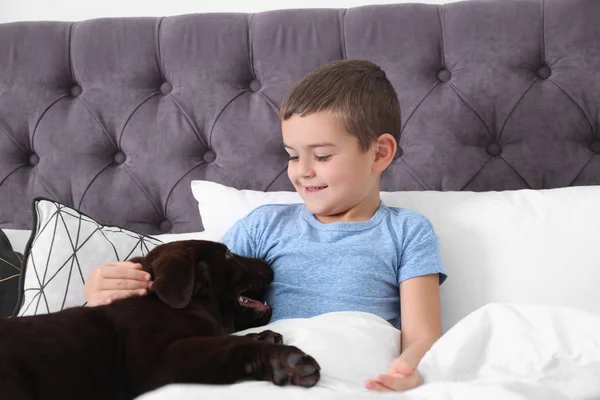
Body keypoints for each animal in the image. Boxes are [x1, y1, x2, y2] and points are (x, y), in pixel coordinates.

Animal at [0, 239, 322, 398]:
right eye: (229, 255)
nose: (269, 262)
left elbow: (227, 336)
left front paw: (267, 336)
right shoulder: (162, 358)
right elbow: (230, 345)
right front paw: (286, 361)